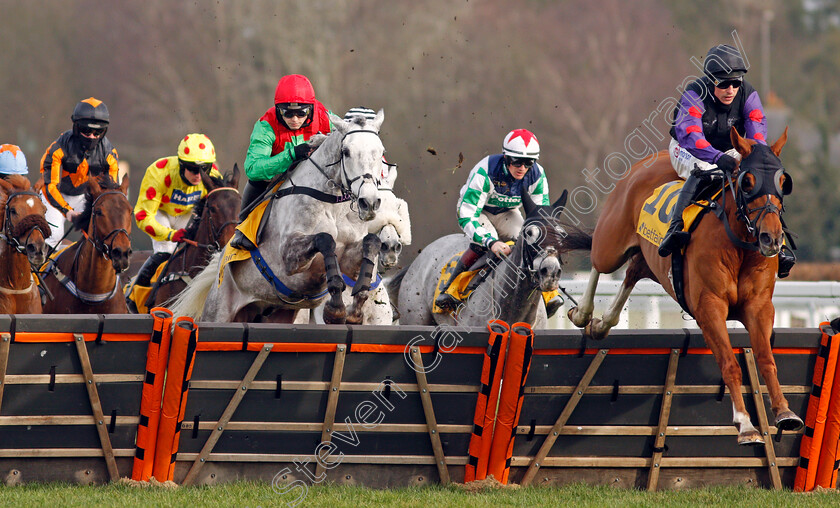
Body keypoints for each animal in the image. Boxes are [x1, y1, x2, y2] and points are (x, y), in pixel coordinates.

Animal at [171, 113, 388, 324]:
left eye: (380, 152)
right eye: (346, 151)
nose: (369, 202)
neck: (332, 205)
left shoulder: (348, 256)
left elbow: (371, 241)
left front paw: (357, 303)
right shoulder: (289, 256)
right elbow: (325, 239)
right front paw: (335, 309)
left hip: (278, 314)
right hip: (219, 310)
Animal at [564, 127, 800, 444]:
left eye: (783, 182)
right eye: (747, 182)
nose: (771, 239)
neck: (738, 246)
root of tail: (646, 162)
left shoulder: (759, 306)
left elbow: (766, 358)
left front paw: (785, 412)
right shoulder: (709, 307)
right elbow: (729, 363)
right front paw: (745, 424)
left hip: (652, 261)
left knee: (633, 271)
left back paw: (603, 324)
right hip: (611, 242)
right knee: (598, 263)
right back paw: (583, 314)